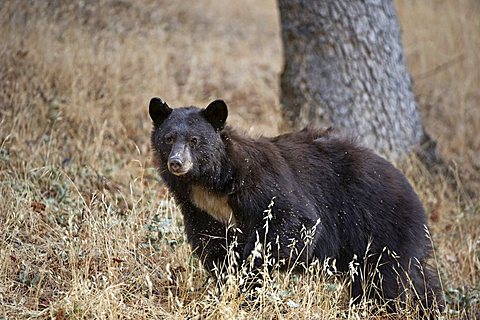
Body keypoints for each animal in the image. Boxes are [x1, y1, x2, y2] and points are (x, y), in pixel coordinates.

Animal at [149, 98, 442, 312]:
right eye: (169, 138)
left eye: (195, 141)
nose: (176, 162)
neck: (210, 184)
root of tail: (412, 192)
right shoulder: (202, 211)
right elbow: (213, 246)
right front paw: (235, 285)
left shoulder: (260, 184)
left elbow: (294, 222)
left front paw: (249, 268)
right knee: (415, 278)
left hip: (382, 226)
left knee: (387, 280)